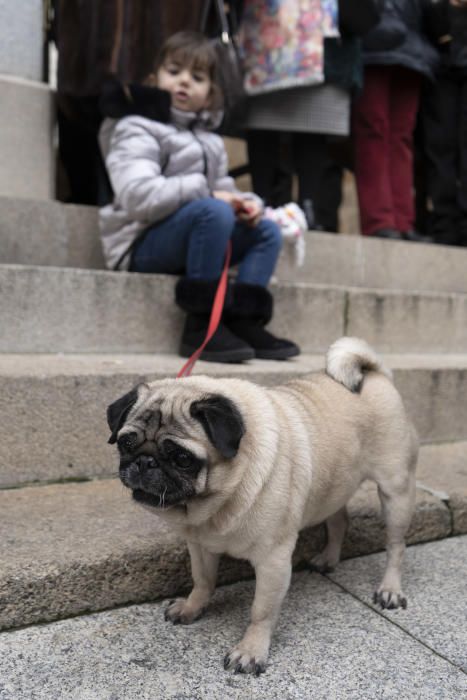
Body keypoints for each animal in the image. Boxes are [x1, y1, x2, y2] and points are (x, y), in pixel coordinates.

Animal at [108, 336, 418, 676]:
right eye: (125, 443)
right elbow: (202, 581)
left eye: (182, 458)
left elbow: (261, 611)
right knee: (339, 523)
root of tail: (373, 373)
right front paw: (192, 607)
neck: (217, 503)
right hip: (333, 488)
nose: (144, 461)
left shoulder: (273, 561)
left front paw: (251, 651)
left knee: (396, 545)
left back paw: (390, 589)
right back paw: (328, 559)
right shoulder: (201, 546)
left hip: (395, 491)